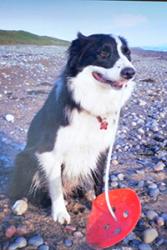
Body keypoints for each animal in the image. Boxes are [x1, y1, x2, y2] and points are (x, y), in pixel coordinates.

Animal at [9, 32, 136, 224]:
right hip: (25, 157)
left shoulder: (102, 149)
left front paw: (102, 207)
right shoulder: (49, 152)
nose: (130, 72)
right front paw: (60, 213)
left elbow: (100, 181)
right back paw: (20, 204)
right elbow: (56, 186)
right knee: (23, 190)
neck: (91, 103)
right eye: (103, 53)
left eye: (126, 53)